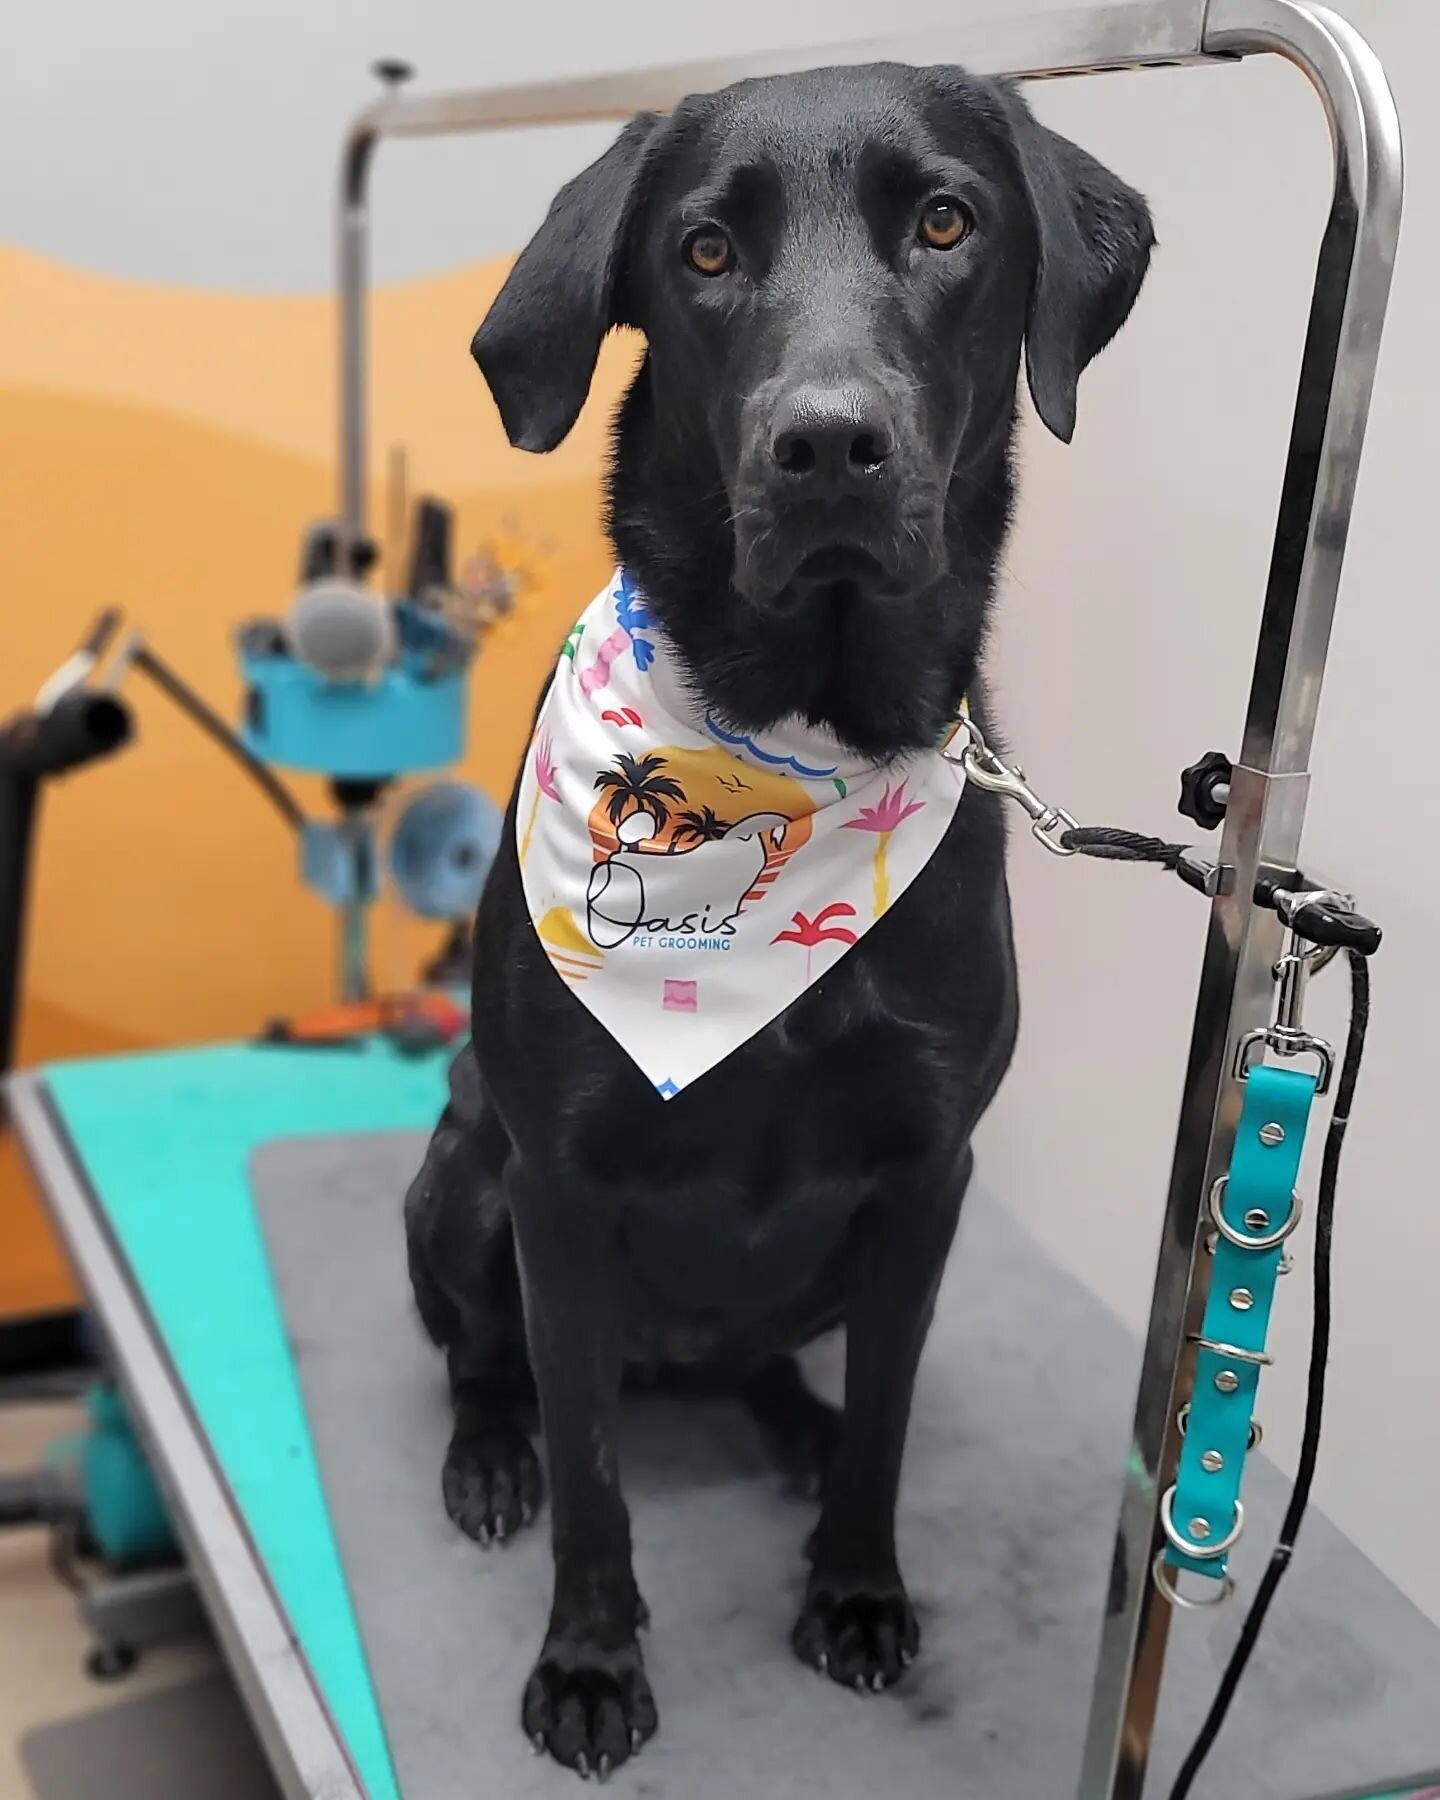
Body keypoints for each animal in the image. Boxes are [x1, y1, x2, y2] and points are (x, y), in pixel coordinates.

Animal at [401, 56, 1144, 1771]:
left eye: (946, 223)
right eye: (705, 252)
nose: (827, 445)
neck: (797, 728)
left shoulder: (929, 1177)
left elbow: (888, 1421)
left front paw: (856, 1586)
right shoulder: (555, 1183)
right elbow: (594, 1478)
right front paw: (590, 1660)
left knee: (786, 1376)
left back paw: (790, 1428)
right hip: (462, 1177)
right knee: (492, 1360)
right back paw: (488, 1454)